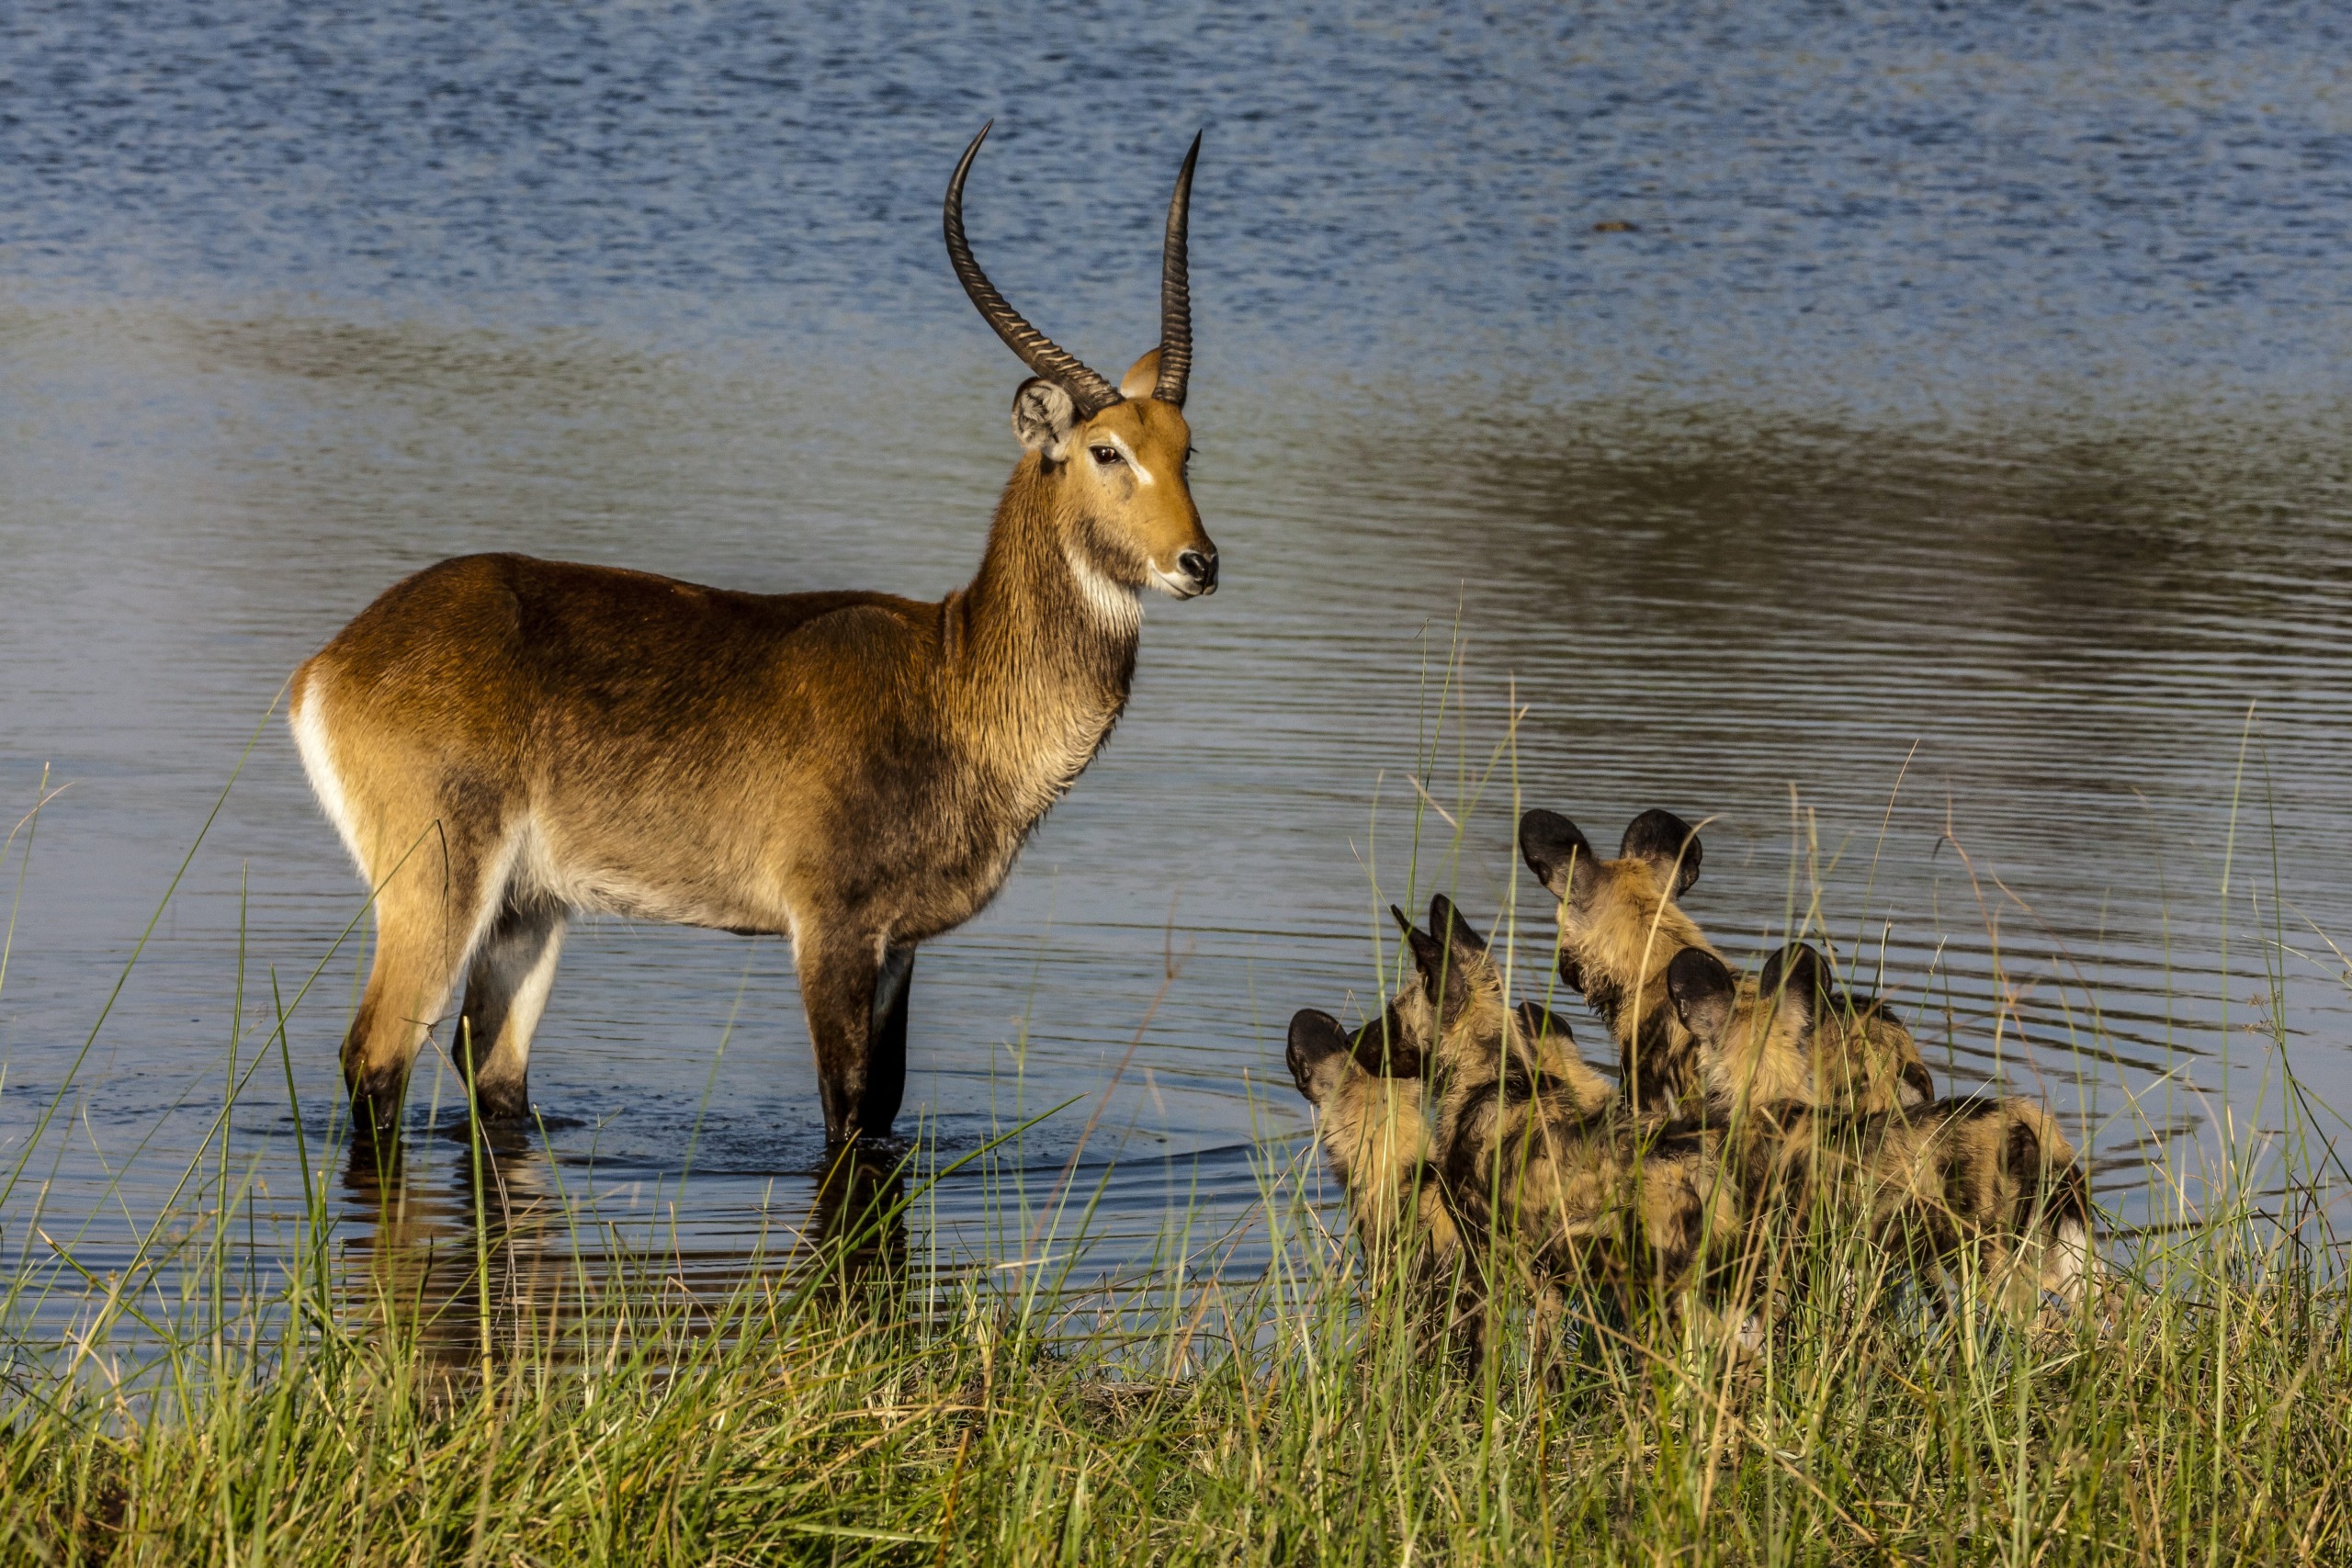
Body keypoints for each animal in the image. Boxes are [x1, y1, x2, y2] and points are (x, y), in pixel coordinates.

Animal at [284, 125, 1223, 1142]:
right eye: (1106, 450)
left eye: (1186, 449)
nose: (1198, 562)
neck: (953, 677)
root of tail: (332, 660)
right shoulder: (832, 931)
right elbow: (846, 1115)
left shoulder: (900, 946)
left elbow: (881, 1106)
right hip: (438, 889)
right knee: (376, 1058)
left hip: (527, 910)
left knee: (490, 1073)